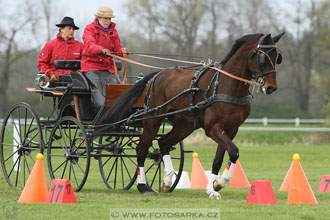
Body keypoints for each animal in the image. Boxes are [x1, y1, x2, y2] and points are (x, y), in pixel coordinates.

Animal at [97, 32, 284, 199]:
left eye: (277, 57)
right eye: (263, 57)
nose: (271, 87)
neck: (226, 85)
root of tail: (157, 75)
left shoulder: (231, 129)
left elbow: (222, 157)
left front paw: (214, 186)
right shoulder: (213, 128)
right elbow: (234, 151)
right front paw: (219, 183)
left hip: (184, 125)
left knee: (163, 143)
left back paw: (167, 181)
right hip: (153, 119)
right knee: (142, 149)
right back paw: (143, 186)